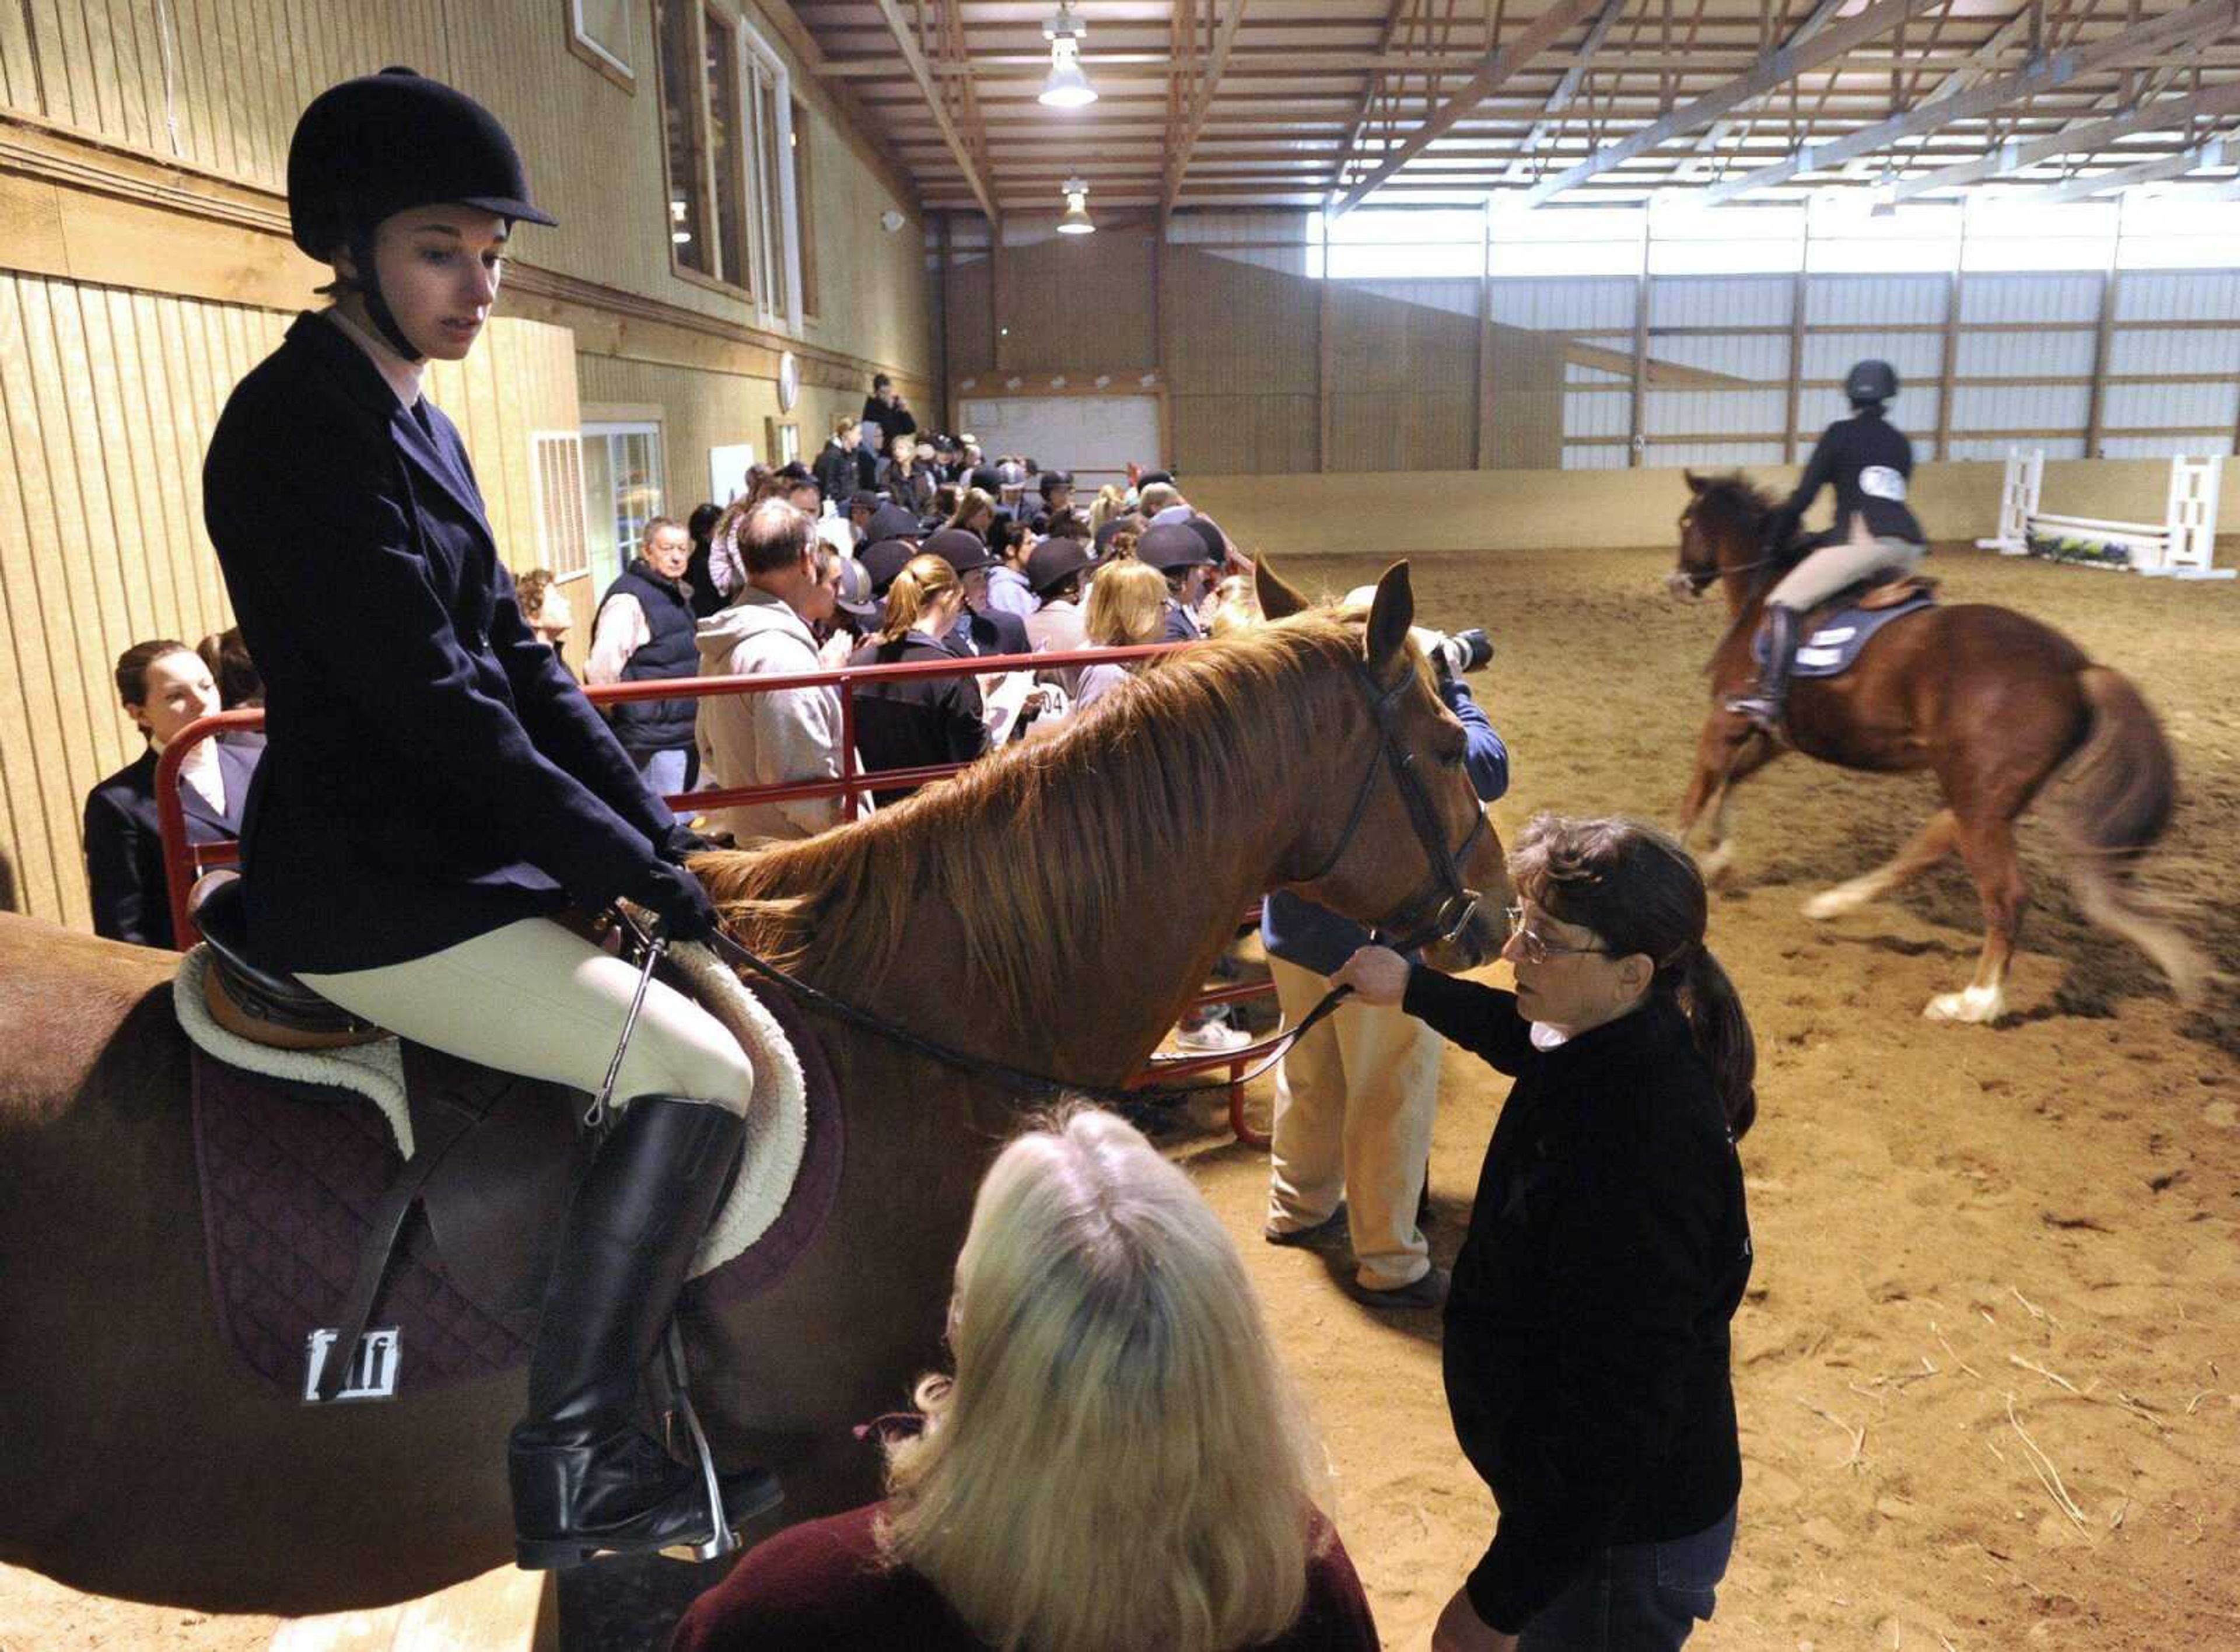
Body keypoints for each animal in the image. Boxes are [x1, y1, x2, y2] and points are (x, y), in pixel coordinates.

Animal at [1666, 470, 2204, 1025]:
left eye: (1686, 521)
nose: (1679, 582)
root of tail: (2077, 669)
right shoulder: (1779, 737)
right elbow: (1731, 780)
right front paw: (1719, 859)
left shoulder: (1728, 719)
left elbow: (1699, 788)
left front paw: (1676, 860)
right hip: (1981, 793)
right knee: (1931, 844)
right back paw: (1834, 904)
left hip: (1980, 798)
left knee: (2005, 894)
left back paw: (1974, 1001)